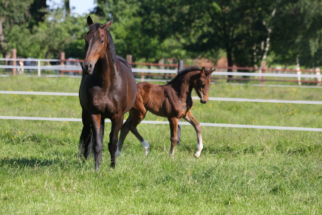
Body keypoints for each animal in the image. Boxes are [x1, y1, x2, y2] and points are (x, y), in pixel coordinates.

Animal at [80, 16, 138, 170]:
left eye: (101, 40)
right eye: (86, 39)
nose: (87, 66)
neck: (107, 83)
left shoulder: (118, 116)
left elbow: (113, 142)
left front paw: (112, 167)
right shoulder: (95, 113)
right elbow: (97, 144)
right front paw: (96, 169)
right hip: (86, 114)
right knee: (87, 135)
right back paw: (85, 159)